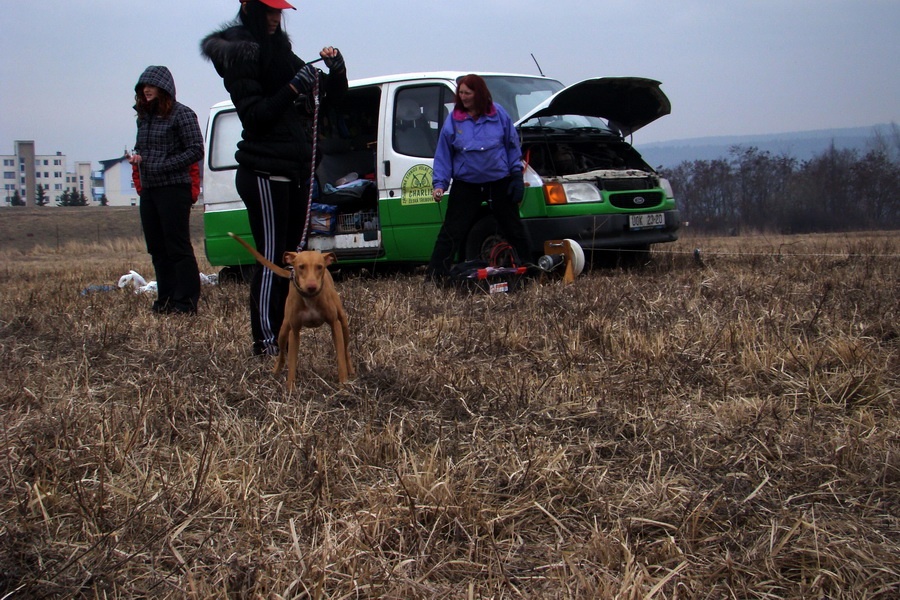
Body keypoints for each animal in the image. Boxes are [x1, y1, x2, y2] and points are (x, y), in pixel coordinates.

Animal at [227, 232, 354, 386]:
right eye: (301, 266)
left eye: (319, 267)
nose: (311, 287)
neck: (310, 299)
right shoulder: (294, 331)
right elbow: (292, 363)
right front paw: (290, 389)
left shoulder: (335, 325)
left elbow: (340, 358)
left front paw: (343, 385)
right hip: (283, 331)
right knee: (282, 354)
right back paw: (275, 371)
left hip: (343, 323)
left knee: (346, 350)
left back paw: (351, 370)